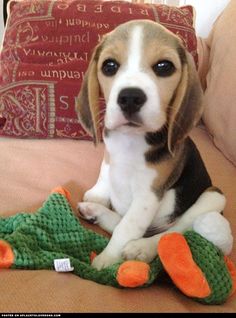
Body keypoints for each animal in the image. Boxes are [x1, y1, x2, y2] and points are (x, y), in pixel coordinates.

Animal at [75, 19, 225, 270]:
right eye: (109, 66)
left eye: (164, 67)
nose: (130, 98)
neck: (131, 140)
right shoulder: (109, 155)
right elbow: (105, 170)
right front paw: (97, 195)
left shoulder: (148, 196)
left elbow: (127, 228)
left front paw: (106, 260)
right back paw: (96, 211)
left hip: (213, 197)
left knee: (173, 232)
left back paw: (141, 248)